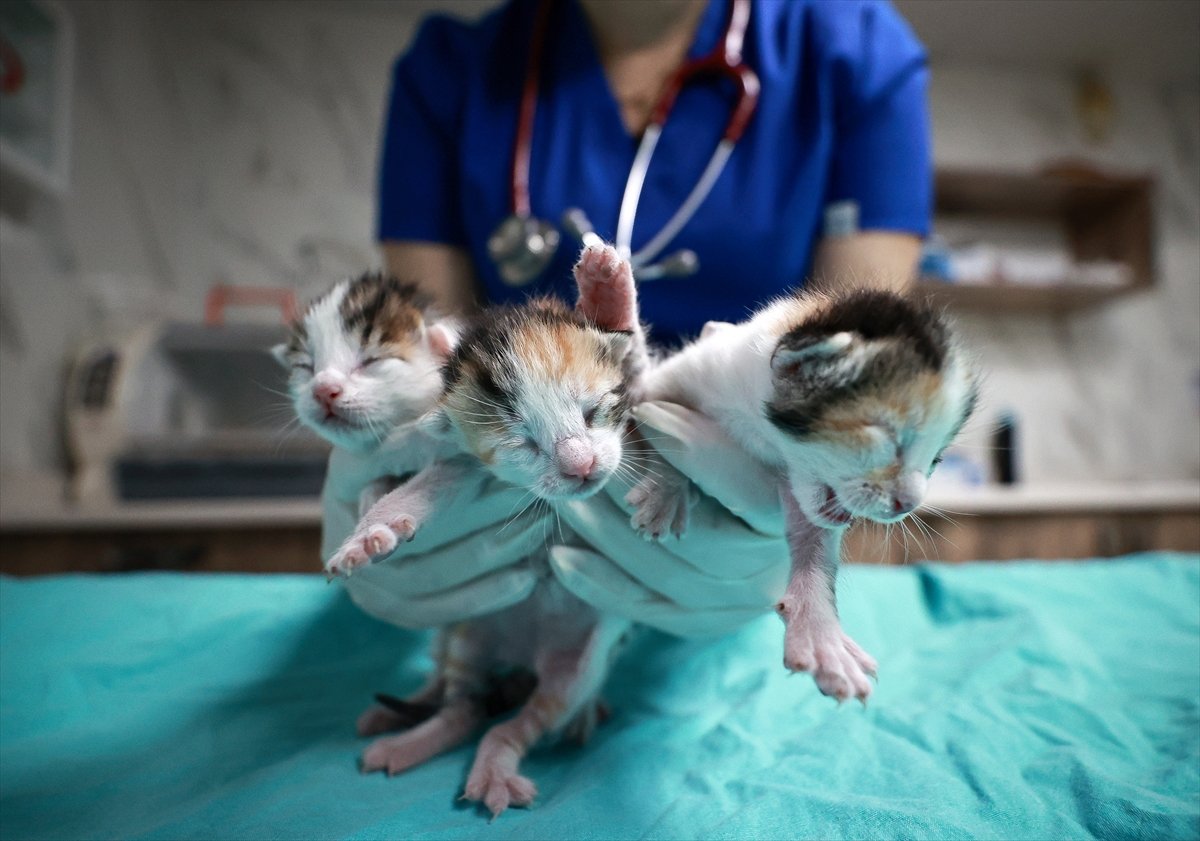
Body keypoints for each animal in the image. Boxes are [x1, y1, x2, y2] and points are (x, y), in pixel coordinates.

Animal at [324, 241, 638, 815]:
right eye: (526, 444)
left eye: (592, 412)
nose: (581, 468)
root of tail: (523, 659)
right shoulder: (466, 468)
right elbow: (415, 492)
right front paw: (367, 537)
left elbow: (637, 353)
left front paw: (607, 290)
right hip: (472, 633)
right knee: (464, 710)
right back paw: (407, 740)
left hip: (576, 665)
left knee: (518, 721)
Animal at [638, 289, 974, 700]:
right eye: (887, 439)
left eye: (936, 459)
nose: (907, 505)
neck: (761, 434)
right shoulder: (680, 376)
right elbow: (652, 418)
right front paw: (664, 491)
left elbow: (814, 545)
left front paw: (821, 635)